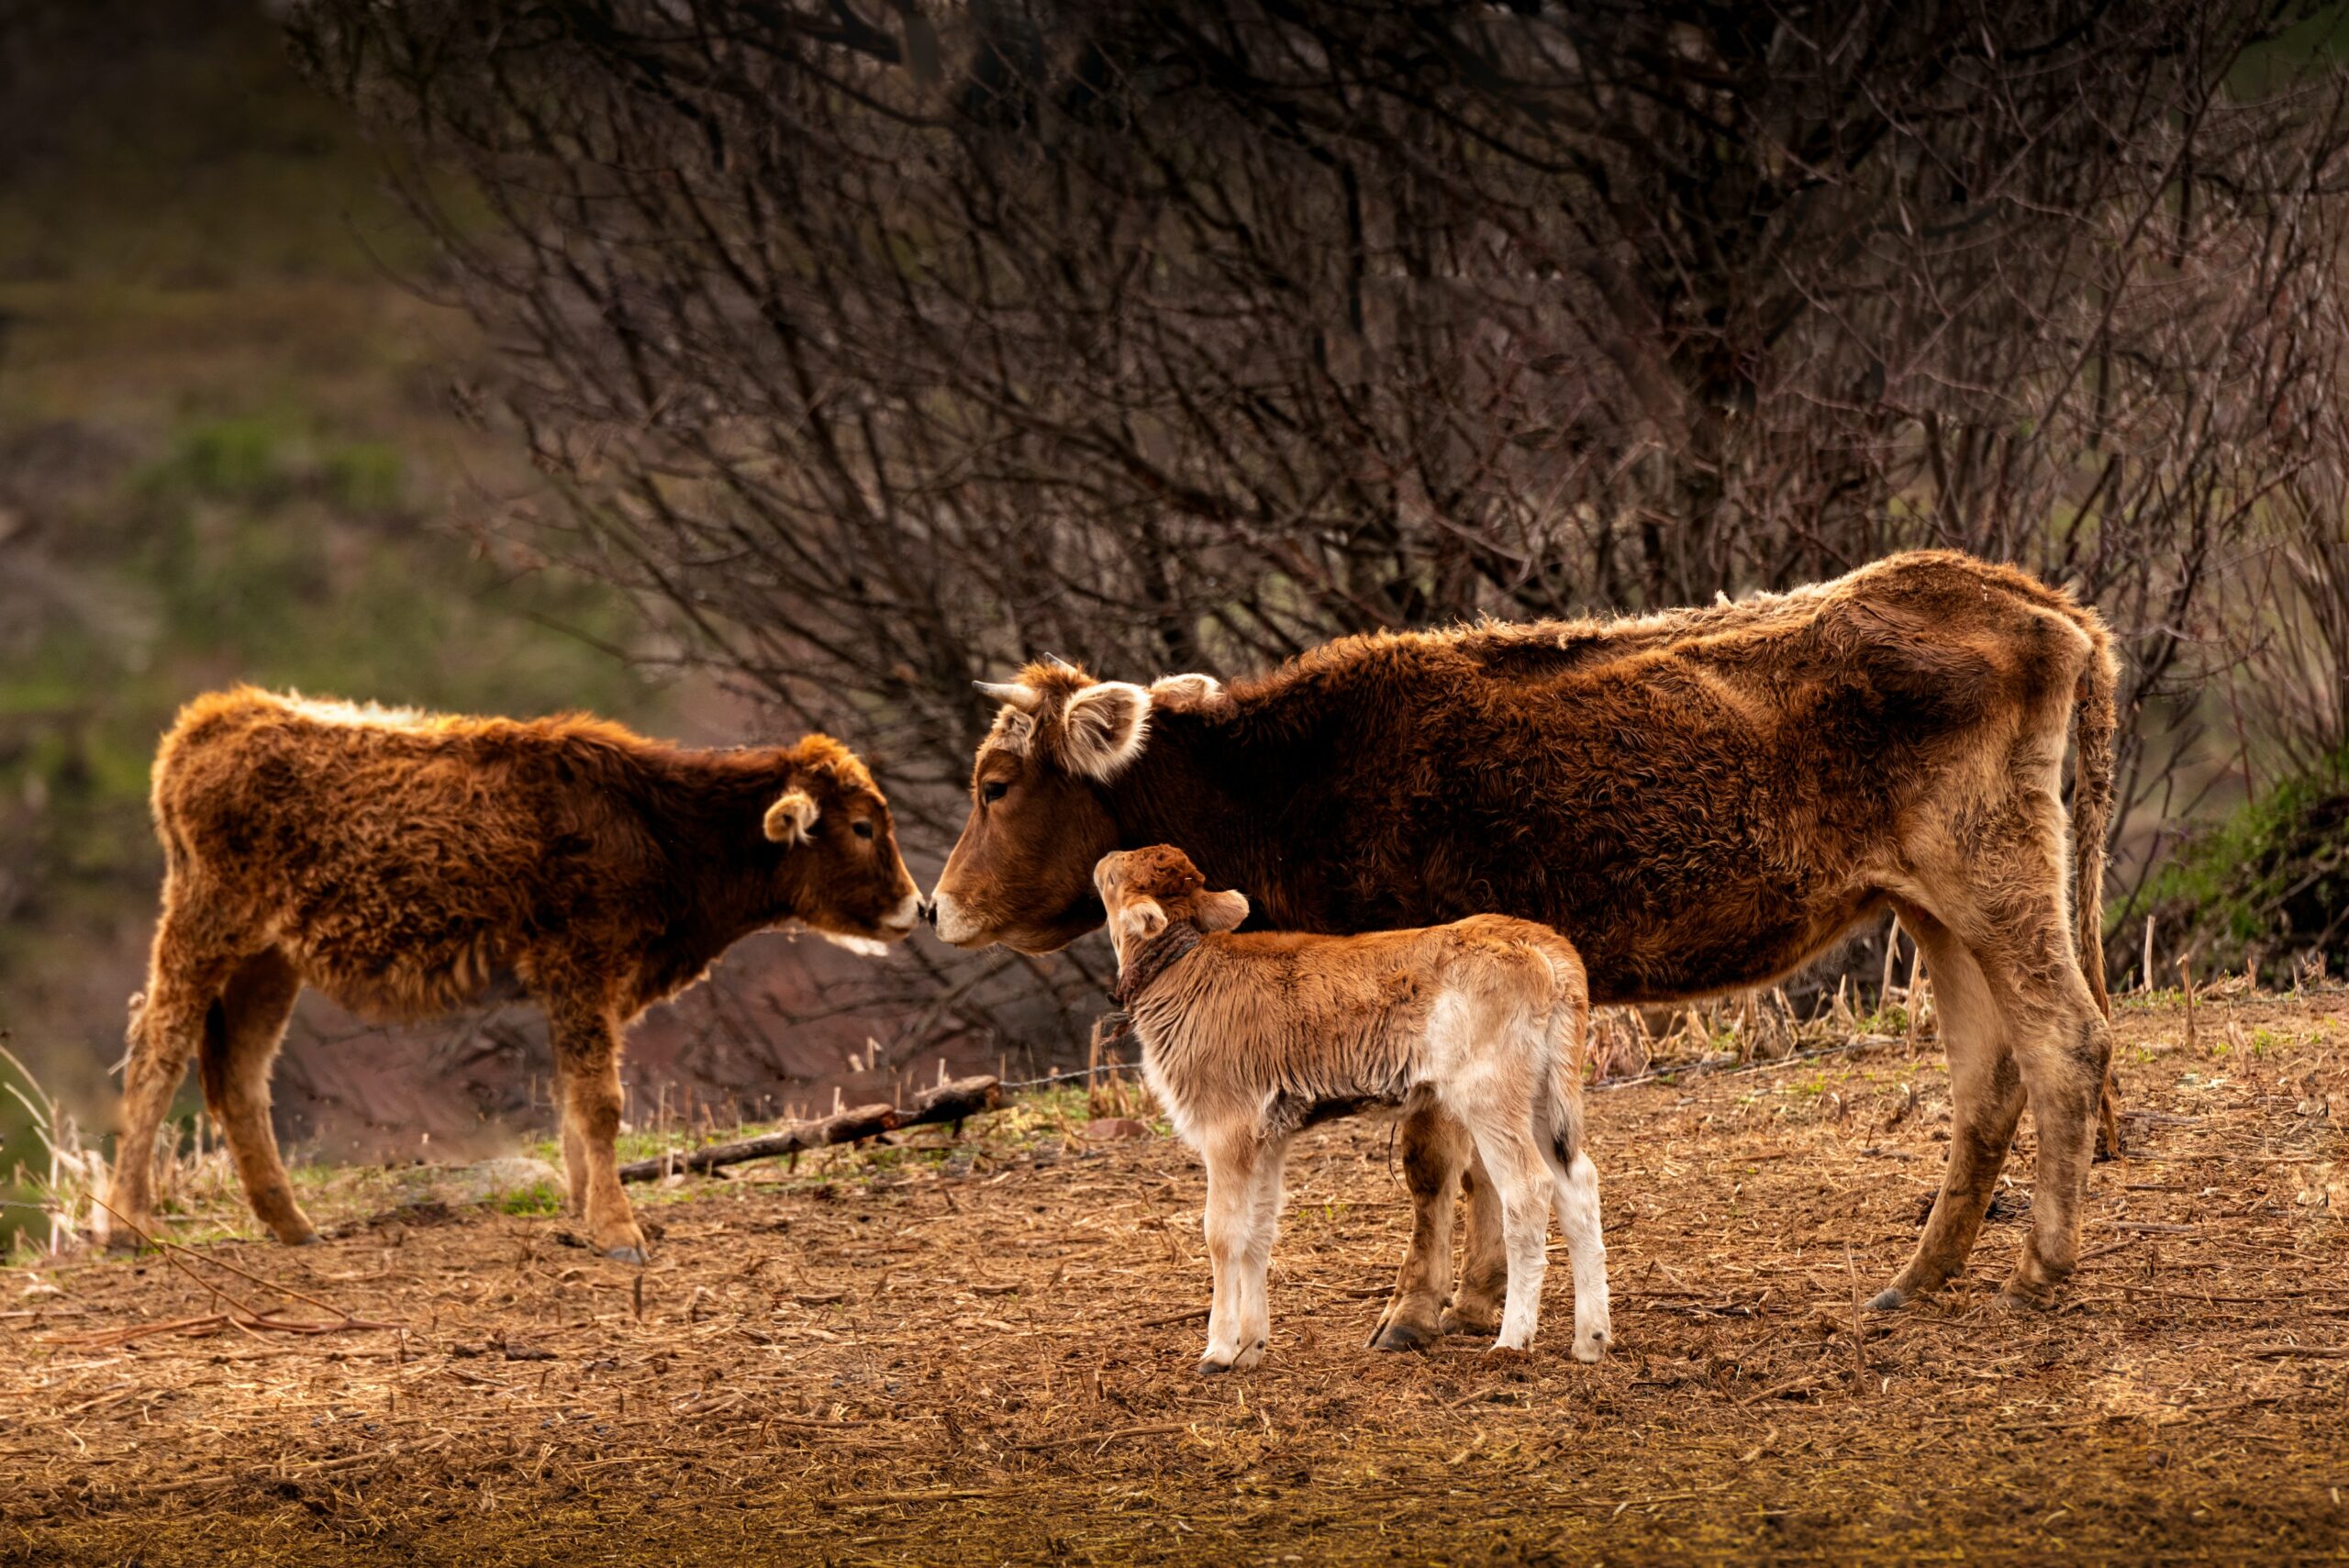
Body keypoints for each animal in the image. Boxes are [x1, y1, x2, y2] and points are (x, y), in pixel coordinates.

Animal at [102, 688, 923, 1262]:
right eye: (861, 826)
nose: (915, 906)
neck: (659, 822)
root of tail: (220, 718)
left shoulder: (586, 991)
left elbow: (574, 1106)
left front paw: (585, 1210)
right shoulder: (582, 969)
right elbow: (600, 1103)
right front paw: (619, 1230)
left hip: (269, 963)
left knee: (239, 1075)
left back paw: (293, 1224)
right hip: (205, 929)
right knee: (157, 1051)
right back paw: (125, 1227)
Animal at [1095, 844, 1609, 1371]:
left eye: (1113, 878)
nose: (1105, 858)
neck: (1187, 974)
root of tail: (1539, 939)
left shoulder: (1226, 1129)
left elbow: (1222, 1233)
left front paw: (1218, 1350)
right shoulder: (1269, 1137)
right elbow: (1260, 1230)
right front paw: (1251, 1347)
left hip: (1491, 1094)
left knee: (1529, 1188)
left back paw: (1512, 1340)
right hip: (1545, 1096)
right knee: (1577, 1183)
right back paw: (1590, 1339)